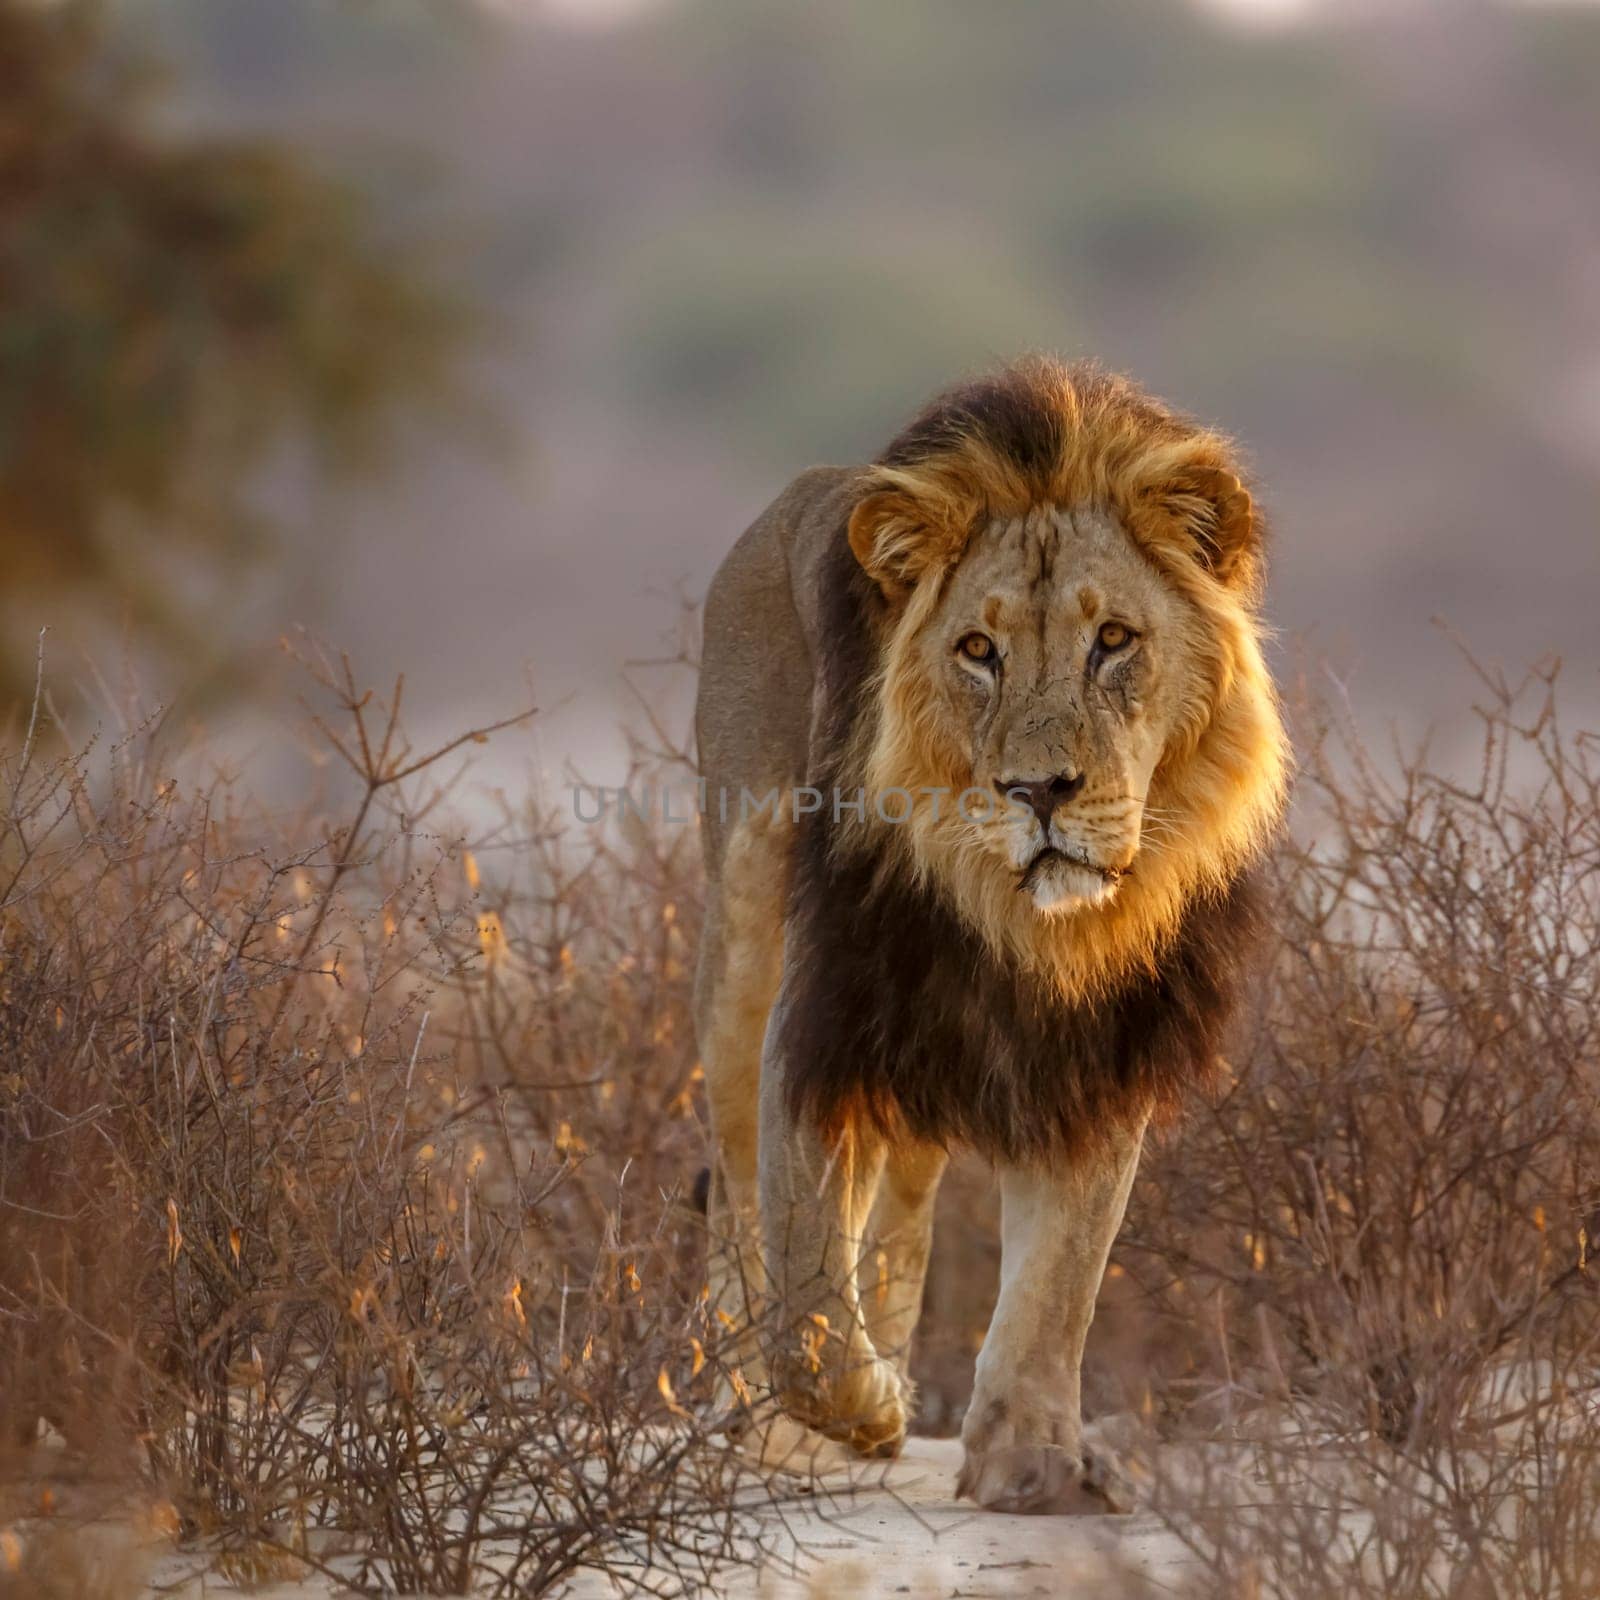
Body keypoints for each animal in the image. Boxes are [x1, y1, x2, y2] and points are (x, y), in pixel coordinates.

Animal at [694, 360, 1292, 1510]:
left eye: (1115, 642)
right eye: (978, 651)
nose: (1039, 790)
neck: (1017, 924)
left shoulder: (1101, 1054)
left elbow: (1059, 1275)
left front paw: (1029, 1459)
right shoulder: (822, 1016)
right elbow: (801, 1266)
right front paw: (861, 1408)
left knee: (904, 1199)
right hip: (742, 929)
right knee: (735, 1183)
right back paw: (755, 1412)